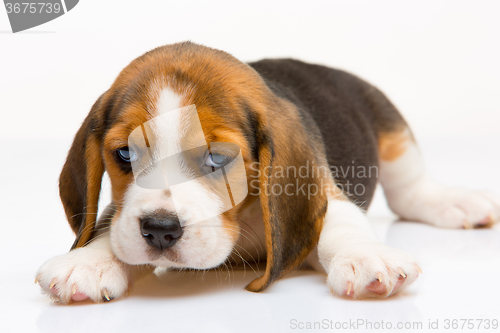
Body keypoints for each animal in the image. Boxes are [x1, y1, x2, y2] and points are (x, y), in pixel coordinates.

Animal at [36, 40, 500, 300]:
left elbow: (341, 224)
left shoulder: (323, 193)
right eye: (124, 156)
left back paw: (456, 202)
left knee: (410, 191)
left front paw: (366, 256)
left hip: (391, 125)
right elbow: (110, 224)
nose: (160, 230)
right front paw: (89, 261)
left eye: (218, 159)